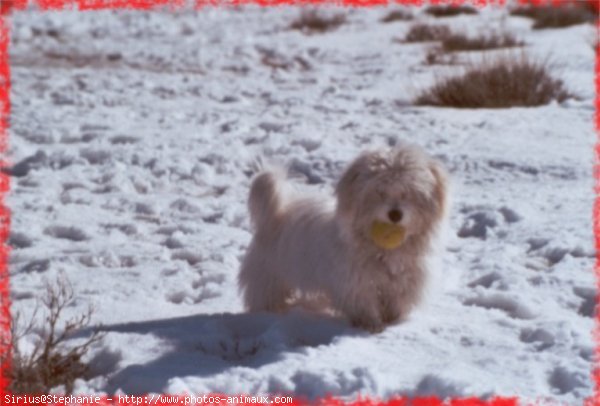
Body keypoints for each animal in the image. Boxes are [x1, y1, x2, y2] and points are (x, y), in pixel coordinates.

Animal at [237, 144, 448, 332]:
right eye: (379, 191)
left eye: (409, 192)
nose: (395, 214)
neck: (383, 250)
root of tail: (278, 211)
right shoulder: (355, 281)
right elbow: (362, 301)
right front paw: (370, 323)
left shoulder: (406, 280)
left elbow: (398, 300)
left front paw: (392, 319)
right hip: (269, 272)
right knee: (265, 292)